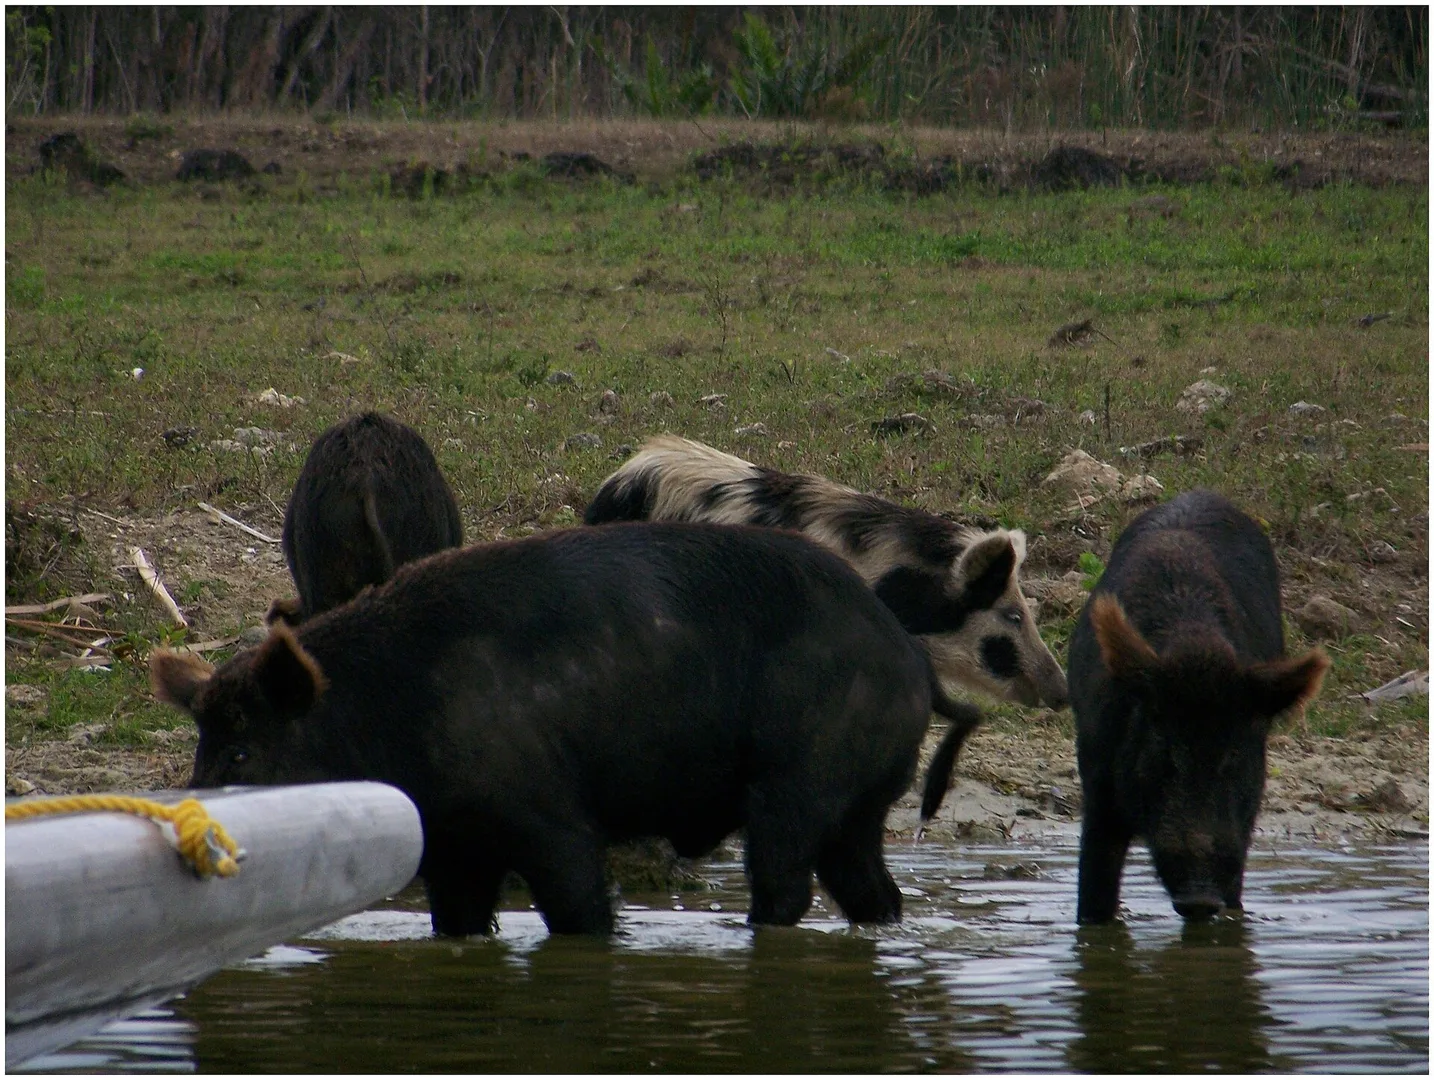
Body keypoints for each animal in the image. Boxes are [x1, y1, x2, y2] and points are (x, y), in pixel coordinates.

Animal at [152, 522, 977, 936]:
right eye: (201, 748)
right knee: (872, 891)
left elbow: (579, 907)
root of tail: (910, 656)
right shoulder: (456, 847)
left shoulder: (544, 812)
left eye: (244, 748)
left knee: (786, 885)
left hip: (800, 781)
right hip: (855, 807)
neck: (391, 709)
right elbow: (458, 924)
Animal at [1068, 490, 1330, 923]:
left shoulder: (1246, 808)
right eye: (1164, 754)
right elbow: (1094, 892)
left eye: (1233, 757)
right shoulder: (1098, 784)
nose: (1200, 897)